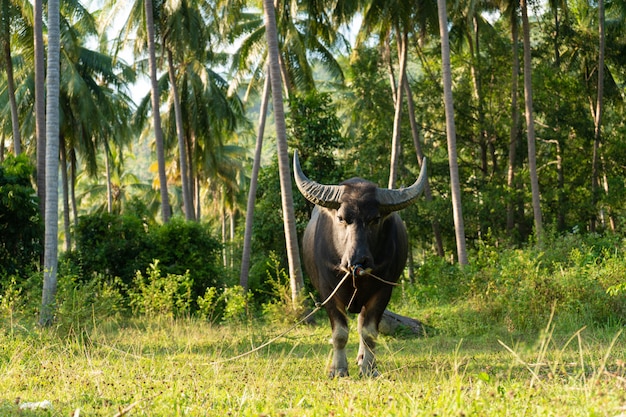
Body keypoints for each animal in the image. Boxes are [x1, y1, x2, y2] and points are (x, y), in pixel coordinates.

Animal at [292, 150, 424, 376]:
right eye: (341, 218)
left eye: (375, 219)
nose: (358, 259)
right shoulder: (327, 292)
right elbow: (340, 333)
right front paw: (338, 369)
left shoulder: (383, 291)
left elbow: (369, 332)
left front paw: (369, 368)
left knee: (363, 324)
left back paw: (362, 358)